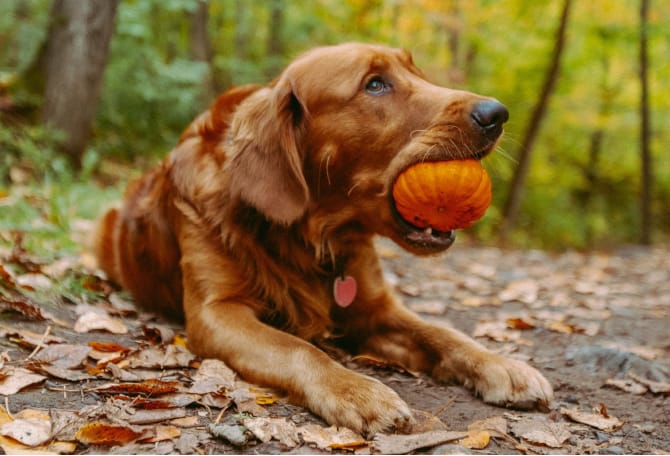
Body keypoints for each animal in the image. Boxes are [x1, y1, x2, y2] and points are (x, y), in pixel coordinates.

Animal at [96, 43, 556, 438]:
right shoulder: (217, 313)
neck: (315, 237)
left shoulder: (375, 308)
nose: (496, 113)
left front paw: (502, 365)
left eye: (417, 72)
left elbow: (442, 332)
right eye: (375, 84)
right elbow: (298, 348)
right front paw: (357, 391)